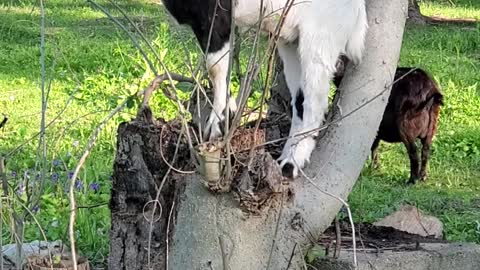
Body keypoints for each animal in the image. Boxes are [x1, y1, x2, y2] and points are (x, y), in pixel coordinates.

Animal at [161, 0, 368, 177]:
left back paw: (292, 163)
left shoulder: (215, 14)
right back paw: (286, 158)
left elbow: (215, 66)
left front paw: (218, 122)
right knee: (299, 101)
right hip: (291, 41)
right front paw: (228, 114)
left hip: (320, 37)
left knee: (314, 102)